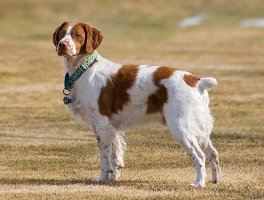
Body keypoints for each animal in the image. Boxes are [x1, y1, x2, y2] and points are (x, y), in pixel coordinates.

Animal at [52, 21, 220, 188]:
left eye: (76, 35)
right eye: (62, 34)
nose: (62, 45)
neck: (85, 69)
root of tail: (196, 81)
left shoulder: (102, 124)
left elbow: (105, 158)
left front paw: (102, 179)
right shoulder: (111, 127)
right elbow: (115, 155)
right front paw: (113, 177)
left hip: (180, 127)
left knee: (200, 155)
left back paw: (199, 183)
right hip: (199, 128)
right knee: (213, 152)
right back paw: (215, 180)